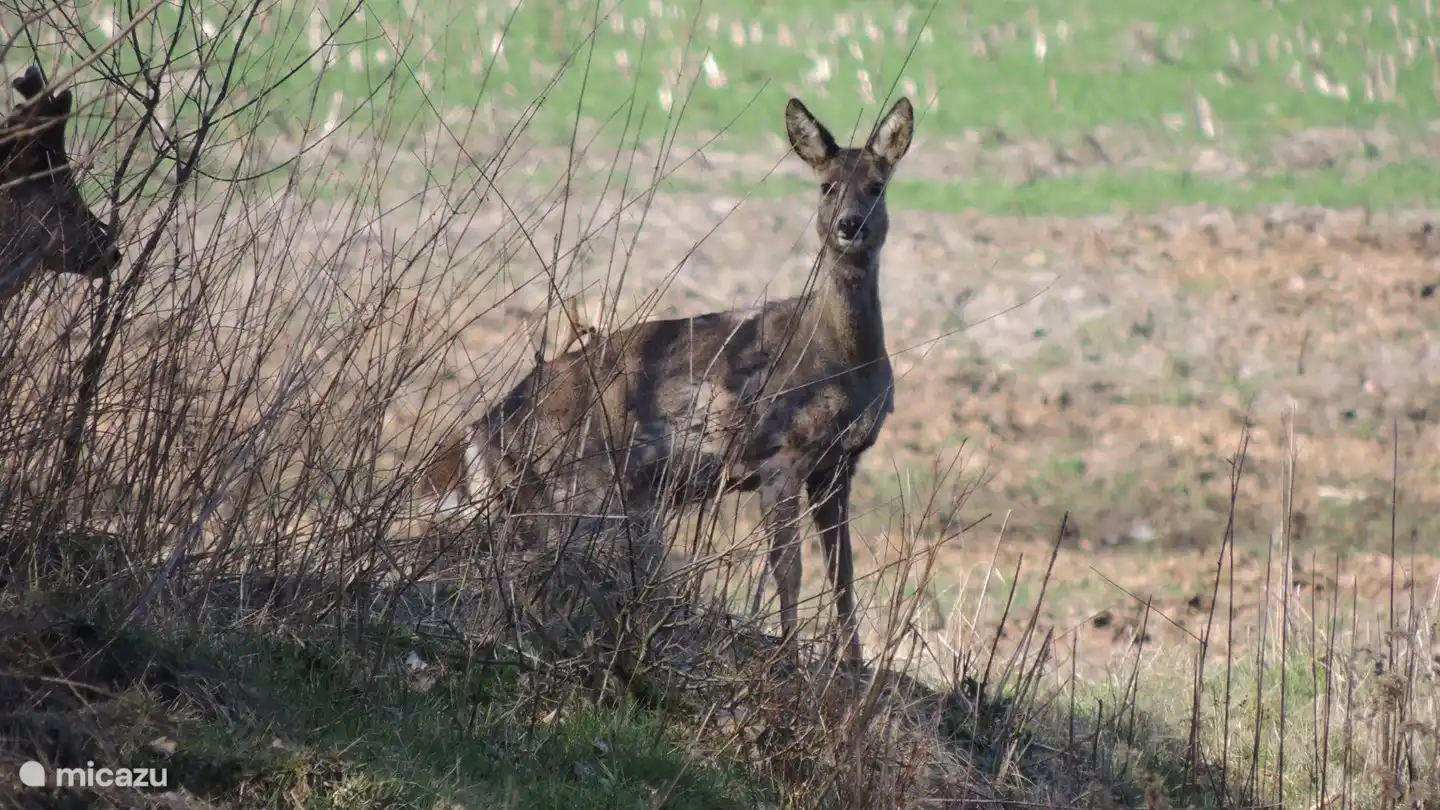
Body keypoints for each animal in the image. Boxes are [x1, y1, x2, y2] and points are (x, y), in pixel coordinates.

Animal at [421, 95, 914, 667]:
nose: (850, 225)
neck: (844, 359)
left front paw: (855, 666)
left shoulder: (839, 465)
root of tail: (483, 429)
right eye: (827, 186)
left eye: (876, 185)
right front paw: (787, 659)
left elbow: (843, 573)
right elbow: (788, 570)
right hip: (574, 483)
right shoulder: (780, 450)